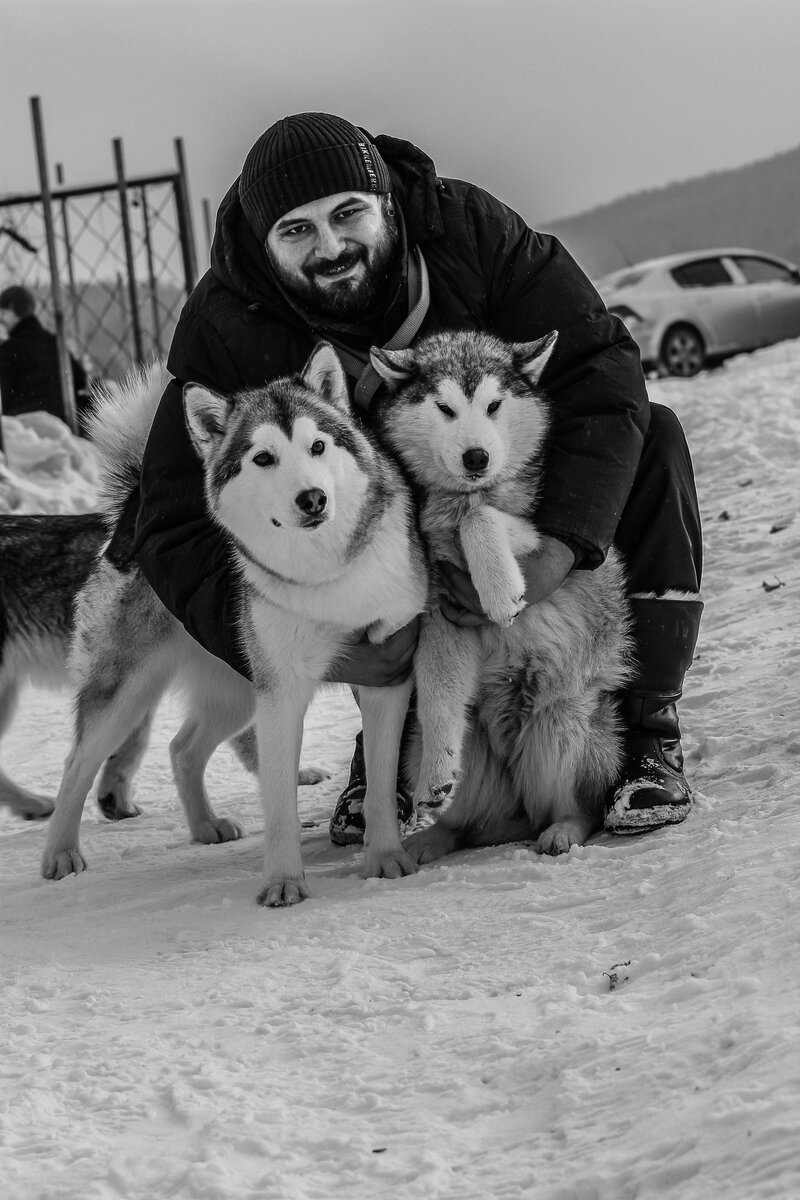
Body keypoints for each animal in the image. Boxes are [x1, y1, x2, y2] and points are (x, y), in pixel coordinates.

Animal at [42, 343, 431, 902]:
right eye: (263, 458)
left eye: (317, 446)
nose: (313, 498)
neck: (325, 571)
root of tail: (132, 512)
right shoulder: (281, 692)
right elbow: (280, 803)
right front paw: (284, 882)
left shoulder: (388, 672)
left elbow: (379, 784)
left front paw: (386, 859)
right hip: (130, 691)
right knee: (77, 764)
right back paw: (60, 854)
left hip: (236, 690)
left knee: (182, 749)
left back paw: (206, 826)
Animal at [371, 328, 633, 864]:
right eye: (444, 408)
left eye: (493, 405)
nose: (477, 458)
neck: (459, 499)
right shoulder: (441, 621)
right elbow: (436, 699)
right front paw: (436, 775)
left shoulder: (542, 534)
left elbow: (482, 518)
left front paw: (500, 589)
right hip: (456, 752)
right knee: (467, 820)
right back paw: (433, 835)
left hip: (563, 723)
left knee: (578, 808)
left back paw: (563, 830)